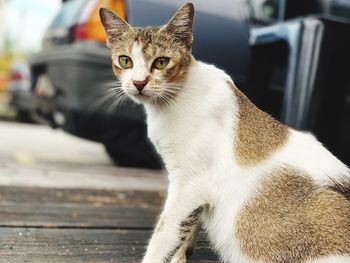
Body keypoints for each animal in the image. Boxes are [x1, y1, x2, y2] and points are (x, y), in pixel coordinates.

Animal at [98, 2, 350, 263]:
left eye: (161, 62)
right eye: (125, 61)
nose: (138, 83)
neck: (171, 100)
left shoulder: (189, 182)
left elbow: (165, 231)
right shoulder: (194, 193)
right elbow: (187, 227)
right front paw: (181, 254)